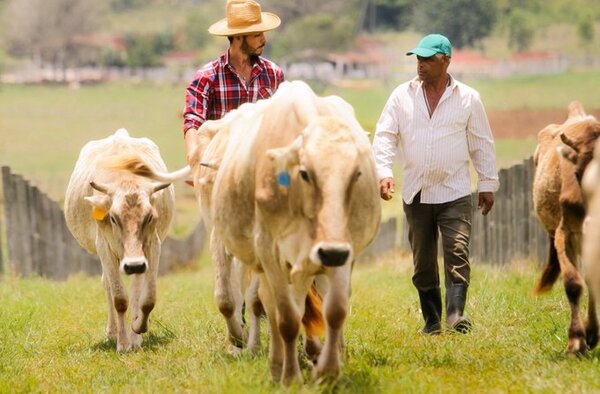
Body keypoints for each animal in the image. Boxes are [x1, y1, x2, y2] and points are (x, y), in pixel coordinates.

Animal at [62, 130, 186, 354]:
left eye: (149, 217)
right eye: (113, 217)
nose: (134, 264)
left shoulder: (152, 246)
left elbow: (147, 298)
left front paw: (137, 331)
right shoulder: (104, 247)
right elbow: (119, 298)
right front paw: (122, 343)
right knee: (108, 286)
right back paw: (112, 332)